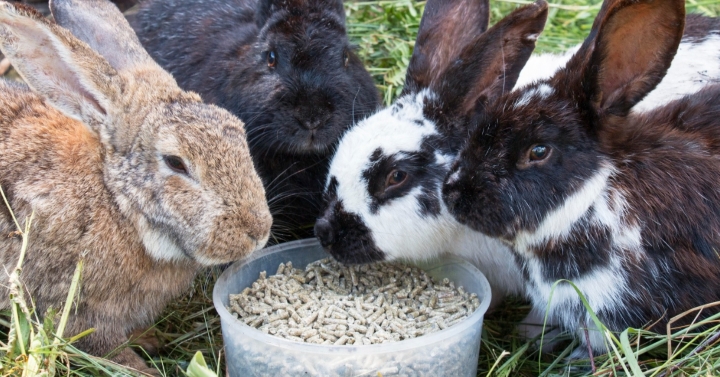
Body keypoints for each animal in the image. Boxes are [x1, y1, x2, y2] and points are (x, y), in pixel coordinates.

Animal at [0, 0, 272, 370]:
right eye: (175, 162)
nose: (259, 231)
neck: (117, 203)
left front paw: (150, 338)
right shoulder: (75, 309)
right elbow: (103, 348)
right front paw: (143, 367)